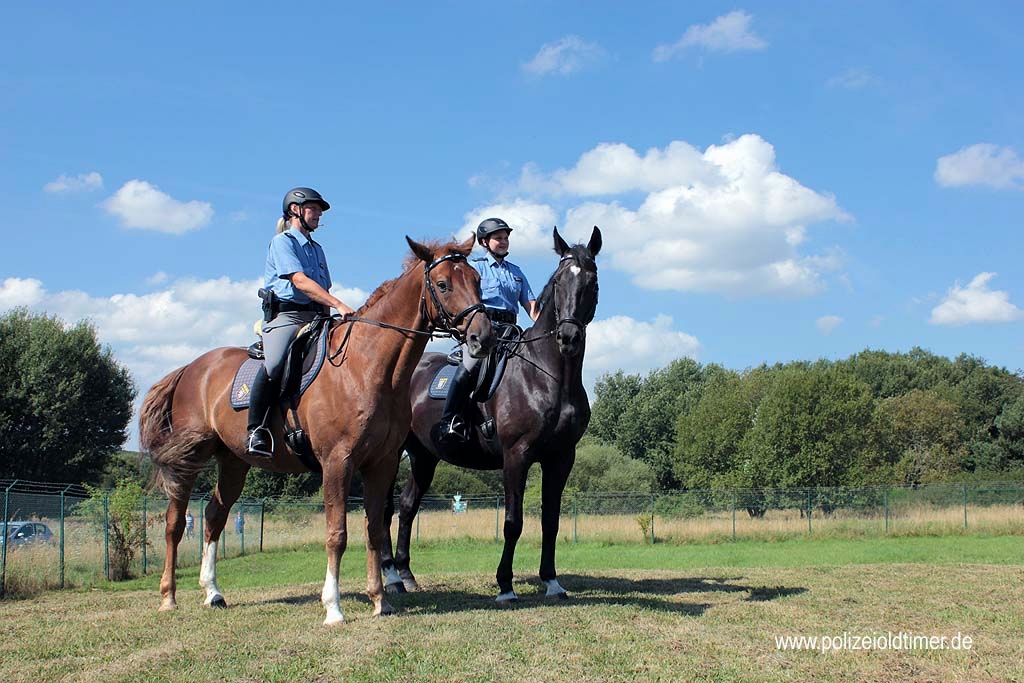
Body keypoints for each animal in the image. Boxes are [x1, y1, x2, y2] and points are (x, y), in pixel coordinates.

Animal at [139, 235, 491, 626]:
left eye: (477, 280)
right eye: (443, 285)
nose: (482, 337)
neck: (367, 367)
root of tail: (191, 367)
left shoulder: (381, 463)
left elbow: (373, 528)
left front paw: (379, 600)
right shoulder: (337, 462)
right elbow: (337, 534)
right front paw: (333, 607)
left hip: (233, 461)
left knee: (215, 515)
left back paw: (213, 592)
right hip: (189, 459)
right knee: (174, 523)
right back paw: (169, 596)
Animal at [380, 225, 598, 602]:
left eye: (591, 280)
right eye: (558, 281)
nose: (568, 337)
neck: (548, 376)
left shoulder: (561, 458)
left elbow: (551, 521)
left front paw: (552, 581)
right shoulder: (516, 456)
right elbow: (513, 522)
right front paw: (505, 585)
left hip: (423, 456)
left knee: (407, 506)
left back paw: (406, 574)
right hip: (393, 453)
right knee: (384, 509)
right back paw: (390, 576)